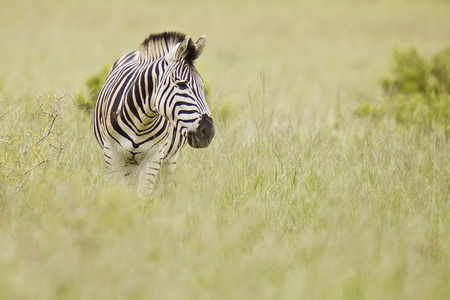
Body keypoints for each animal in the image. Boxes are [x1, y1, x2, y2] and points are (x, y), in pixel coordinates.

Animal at [93, 30, 214, 195]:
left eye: (202, 86)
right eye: (182, 85)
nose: (208, 132)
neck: (141, 122)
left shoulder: (154, 156)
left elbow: (143, 194)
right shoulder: (111, 153)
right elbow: (120, 191)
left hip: (169, 159)